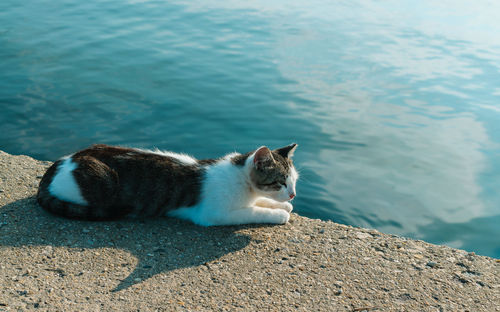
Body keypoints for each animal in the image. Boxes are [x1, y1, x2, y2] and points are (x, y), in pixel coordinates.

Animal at [38, 143, 300, 225]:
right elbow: (252, 211)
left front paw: (282, 206)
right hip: (102, 184)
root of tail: (63, 161)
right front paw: (278, 214)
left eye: (293, 181)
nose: (293, 195)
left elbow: (259, 202)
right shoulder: (213, 214)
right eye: (279, 182)